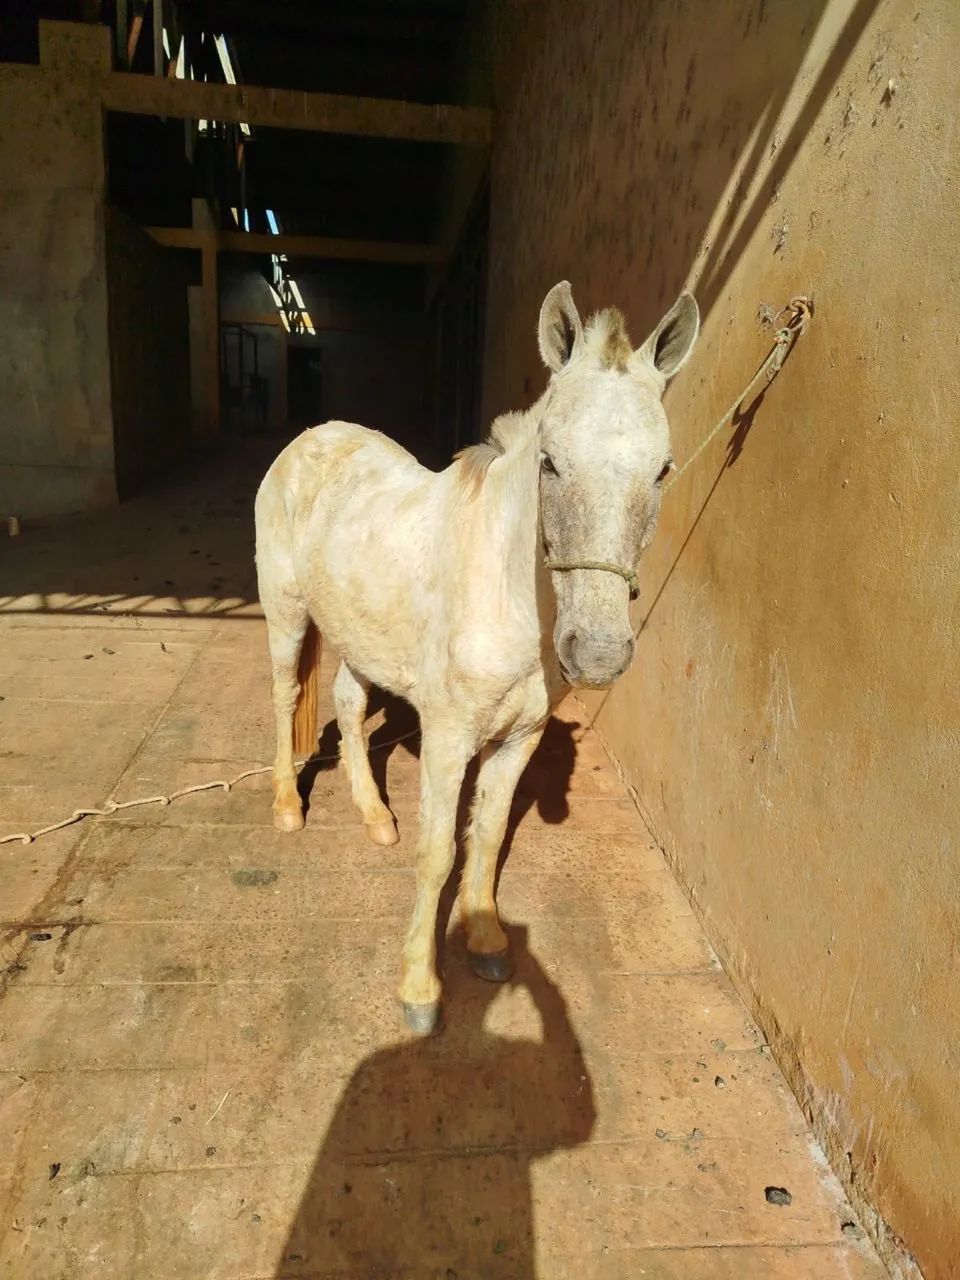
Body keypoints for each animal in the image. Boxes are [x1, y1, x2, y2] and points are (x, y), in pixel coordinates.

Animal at [254, 281, 699, 1034]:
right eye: (550, 461)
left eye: (662, 470)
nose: (597, 654)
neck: (507, 592)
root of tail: (310, 439)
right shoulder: (448, 737)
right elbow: (439, 853)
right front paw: (419, 989)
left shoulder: (518, 736)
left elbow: (486, 838)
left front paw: (487, 942)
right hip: (286, 616)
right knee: (287, 698)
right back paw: (289, 806)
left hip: (359, 635)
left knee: (347, 704)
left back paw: (375, 817)